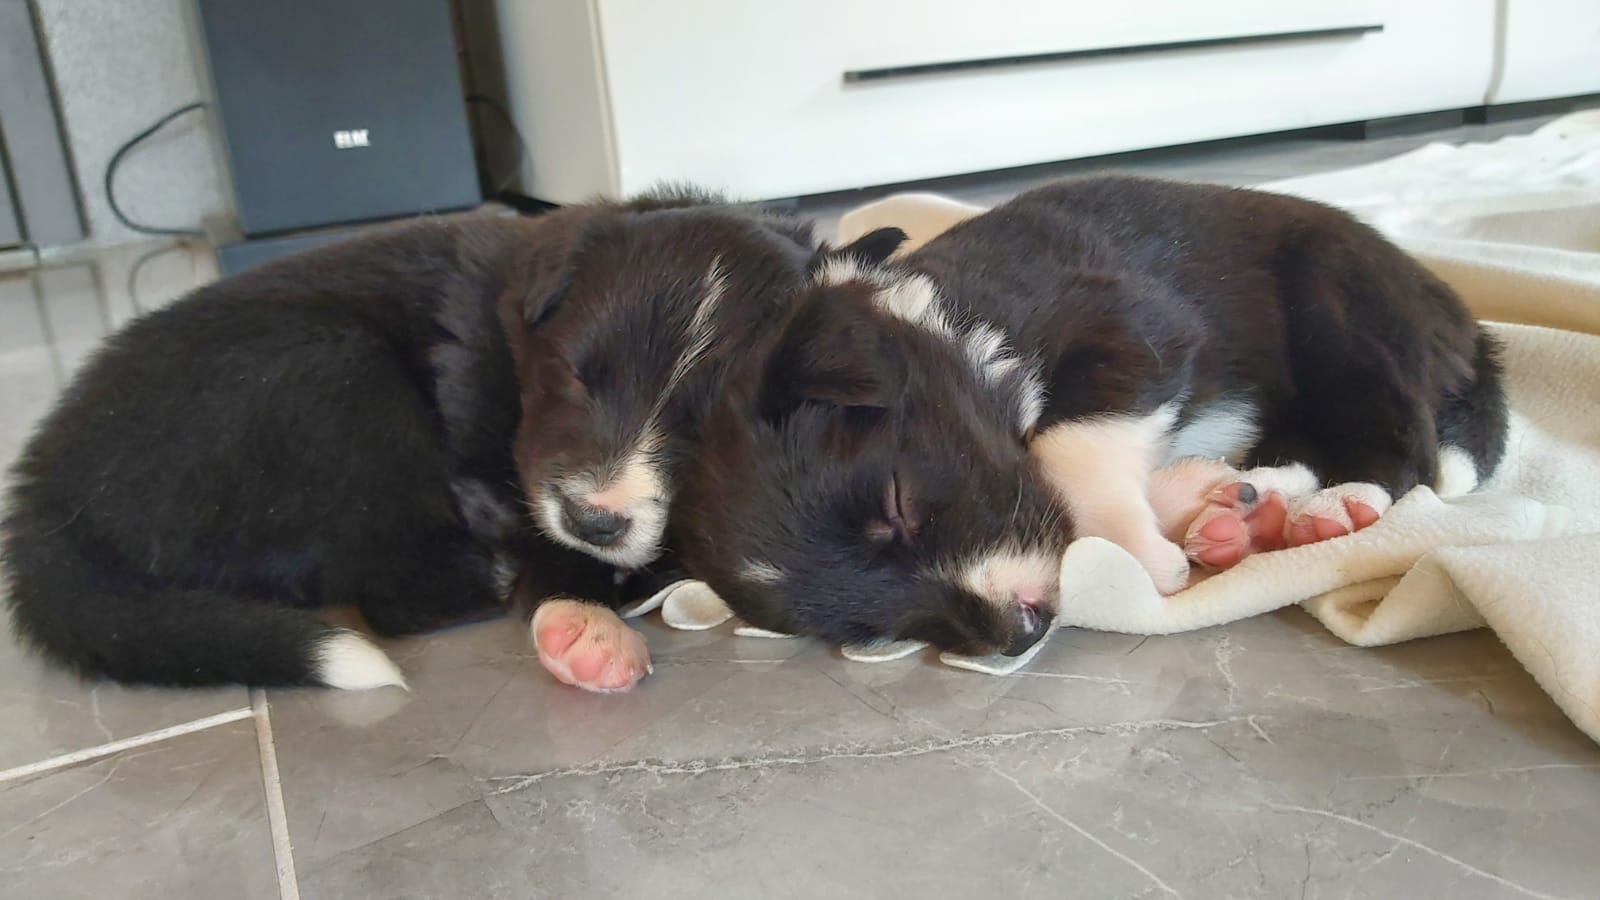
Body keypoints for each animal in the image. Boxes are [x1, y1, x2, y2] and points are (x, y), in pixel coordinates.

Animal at [673, 175, 1507, 659]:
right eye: (859, 628)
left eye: (898, 504)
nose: (1019, 636)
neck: (956, 317)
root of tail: (1466, 323)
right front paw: (1178, 502)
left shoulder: (1139, 329)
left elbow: (1066, 447)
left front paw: (1139, 546)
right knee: (1300, 439)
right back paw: (1244, 505)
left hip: (1338, 300)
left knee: (1398, 432)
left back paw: (1340, 504)